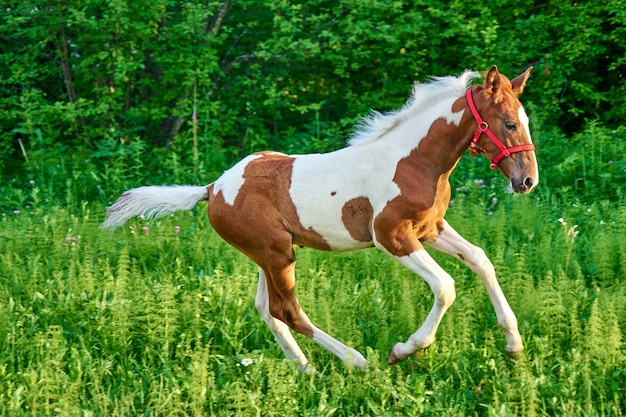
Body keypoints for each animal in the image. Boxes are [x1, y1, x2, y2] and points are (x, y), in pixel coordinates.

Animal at [103, 66, 536, 370]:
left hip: (268, 255)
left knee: (267, 310)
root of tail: (213, 188)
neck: (415, 161)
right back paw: (355, 361)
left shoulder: (430, 229)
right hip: (277, 254)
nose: (527, 180)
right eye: (509, 123)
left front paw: (514, 346)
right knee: (287, 311)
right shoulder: (391, 236)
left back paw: (305, 368)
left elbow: (481, 260)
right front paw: (402, 350)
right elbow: (445, 287)